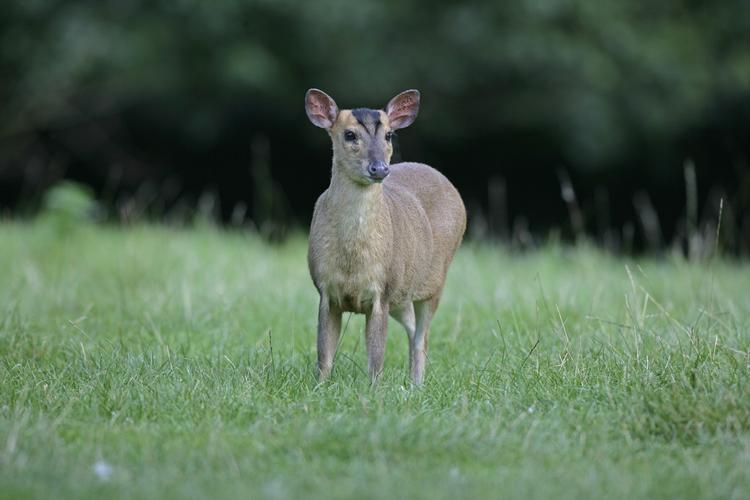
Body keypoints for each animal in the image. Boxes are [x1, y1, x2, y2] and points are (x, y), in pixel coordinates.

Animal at [306, 89, 464, 386]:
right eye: (349, 135)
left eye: (389, 135)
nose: (379, 169)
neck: (353, 261)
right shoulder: (325, 290)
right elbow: (324, 356)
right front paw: (319, 387)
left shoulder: (383, 289)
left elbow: (376, 359)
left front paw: (373, 390)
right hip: (402, 295)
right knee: (413, 328)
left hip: (435, 281)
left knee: (422, 338)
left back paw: (417, 385)